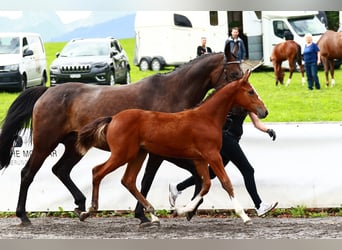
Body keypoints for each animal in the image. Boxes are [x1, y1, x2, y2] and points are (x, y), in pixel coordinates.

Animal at [0, 43, 243, 227]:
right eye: (233, 74)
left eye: (243, 74)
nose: (239, 112)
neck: (171, 92)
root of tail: (47, 91)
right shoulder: (159, 152)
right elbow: (146, 180)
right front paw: (145, 214)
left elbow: (198, 174)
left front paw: (187, 209)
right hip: (45, 143)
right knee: (28, 173)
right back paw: (23, 216)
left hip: (74, 146)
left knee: (60, 170)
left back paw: (80, 205)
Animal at [76, 70, 268, 225]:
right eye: (250, 91)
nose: (264, 112)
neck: (207, 118)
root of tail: (113, 118)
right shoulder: (212, 155)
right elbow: (226, 183)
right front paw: (244, 216)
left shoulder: (199, 159)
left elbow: (205, 185)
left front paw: (181, 210)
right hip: (122, 154)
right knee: (98, 171)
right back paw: (88, 211)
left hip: (138, 154)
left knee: (128, 180)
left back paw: (153, 216)